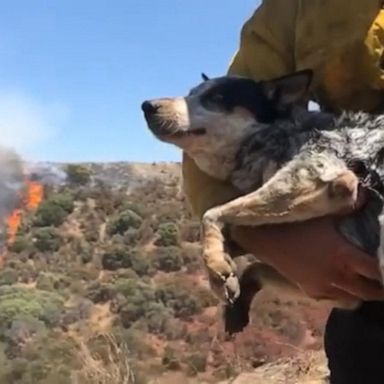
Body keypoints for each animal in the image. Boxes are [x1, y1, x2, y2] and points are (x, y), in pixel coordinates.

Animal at [142, 70, 384, 334]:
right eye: (190, 93)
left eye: (216, 97)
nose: (147, 106)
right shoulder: (343, 294)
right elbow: (253, 267)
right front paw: (232, 291)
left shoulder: (327, 180)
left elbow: (211, 214)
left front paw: (216, 268)